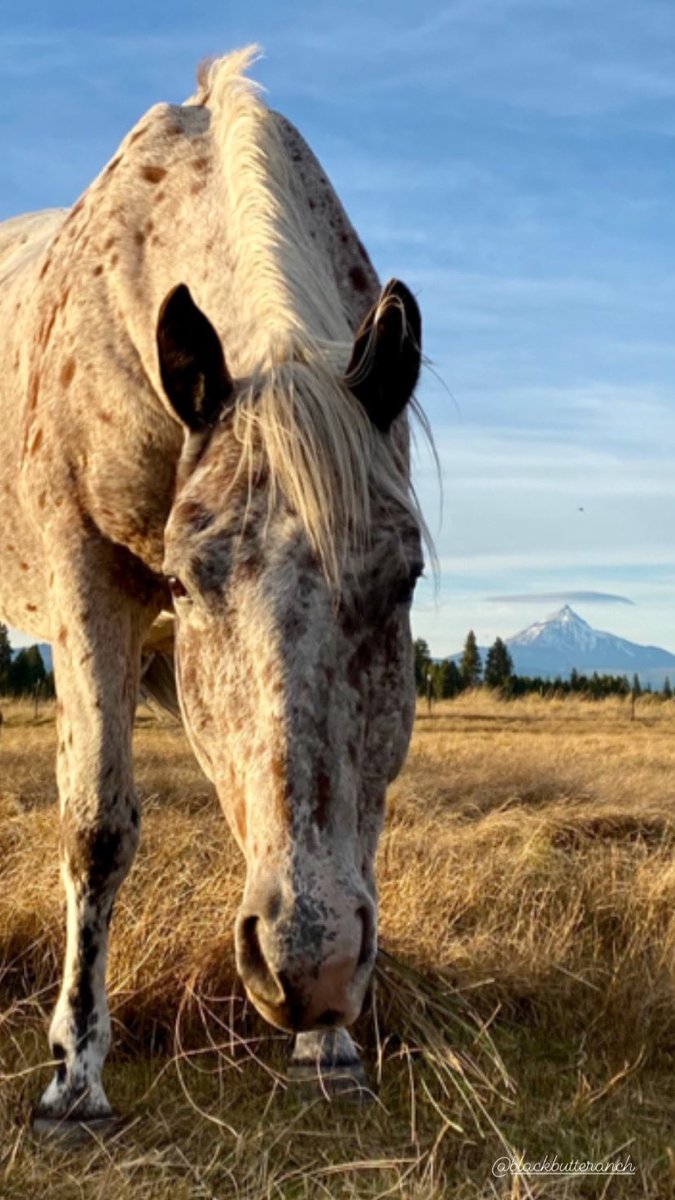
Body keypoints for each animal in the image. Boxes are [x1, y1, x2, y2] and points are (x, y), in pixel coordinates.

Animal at [0, 46, 427, 1127]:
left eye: (405, 577)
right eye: (190, 583)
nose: (311, 970)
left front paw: (330, 1054)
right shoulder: (89, 583)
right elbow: (97, 827)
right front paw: (74, 1076)